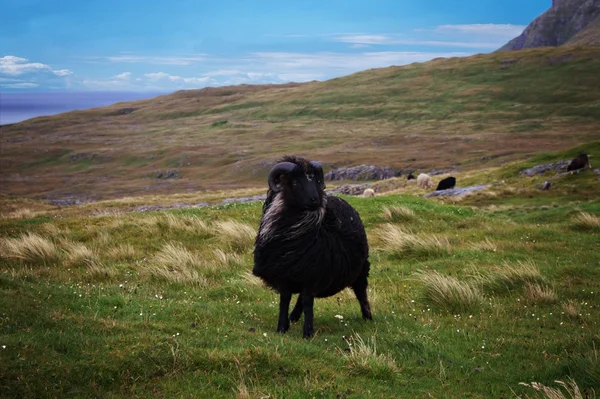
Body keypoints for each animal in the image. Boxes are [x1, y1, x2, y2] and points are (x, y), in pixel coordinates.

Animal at [252, 155, 370, 338]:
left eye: (315, 180)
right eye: (294, 182)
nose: (316, 199)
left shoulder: (313, 274)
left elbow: (308, 302)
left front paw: (307, 332)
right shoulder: (284, 273)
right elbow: (285, 300)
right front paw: (281, 328)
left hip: (360, 268)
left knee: (361, 292)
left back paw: (367, 317)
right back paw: (293, 317)